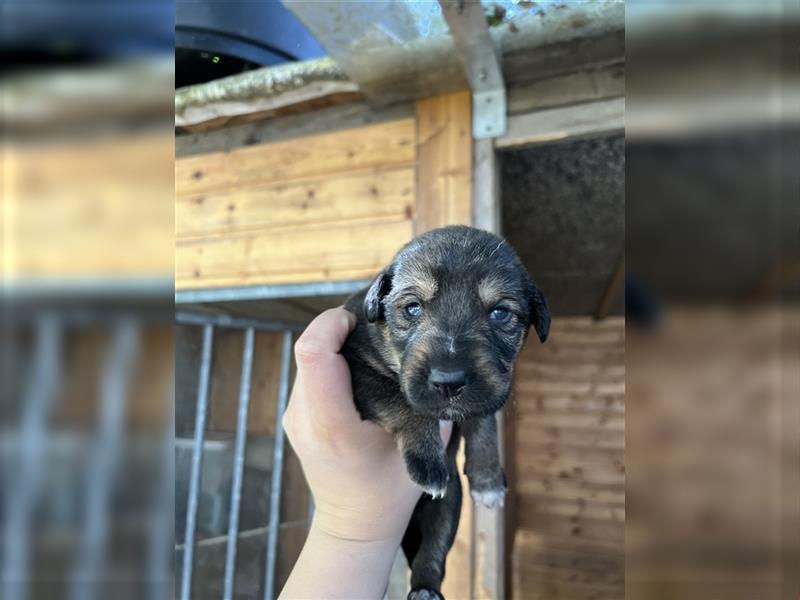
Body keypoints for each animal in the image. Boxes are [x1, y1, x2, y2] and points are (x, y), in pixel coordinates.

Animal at [340, 226, 552, 600]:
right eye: (412, 308)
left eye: (500, 313)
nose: (449, 382)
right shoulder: (359, 370)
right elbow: (404, 404)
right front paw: (428, 461)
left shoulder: (487, 392)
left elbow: (483, 420)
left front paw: (487, 478)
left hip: (448, 506)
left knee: (431, 552)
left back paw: (425, 590)